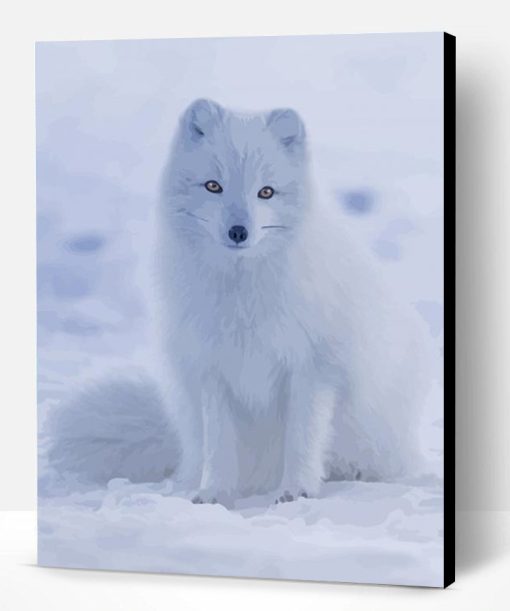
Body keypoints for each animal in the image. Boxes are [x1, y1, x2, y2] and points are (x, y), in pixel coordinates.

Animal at [154, 99, 430, 502]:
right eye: (213, 186)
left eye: (266, 192)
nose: (238, 231)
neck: (244, 294)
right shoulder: (213, 368)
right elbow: (218, 443)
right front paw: (214, 493)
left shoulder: (313, 366)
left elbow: (303, 437)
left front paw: (296, 491)